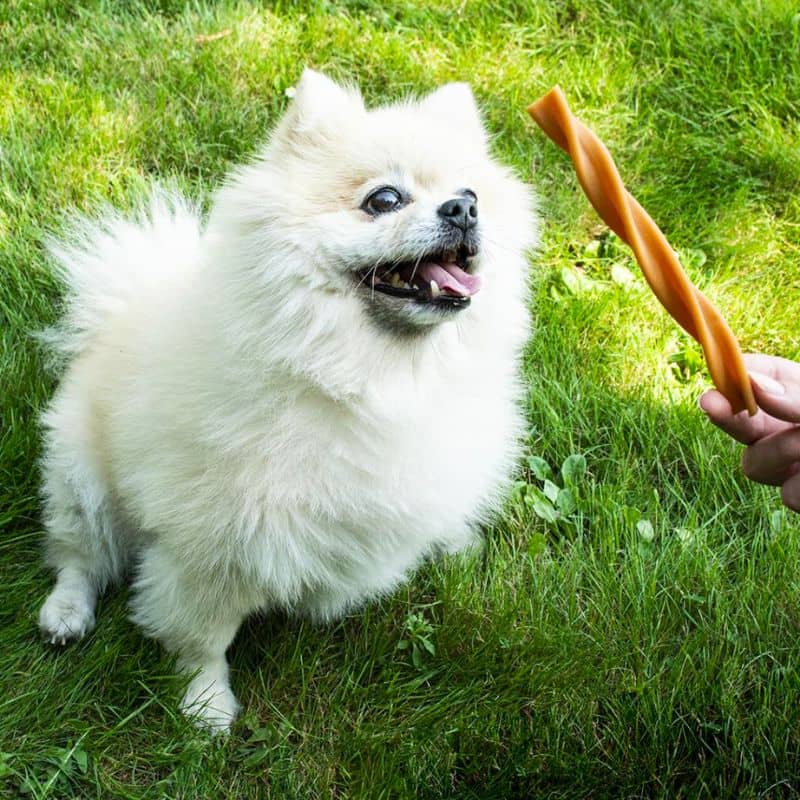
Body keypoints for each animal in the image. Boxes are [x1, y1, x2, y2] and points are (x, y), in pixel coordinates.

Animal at [37, 70, 536, 732]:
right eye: (384, 200)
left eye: (471, 192)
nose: (464, 209)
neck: (363, 379)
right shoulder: (211, 549)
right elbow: (202, 636)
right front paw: (205, 705)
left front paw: (453, 540)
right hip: (81, 482)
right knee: (79, 557)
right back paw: (66, 613)